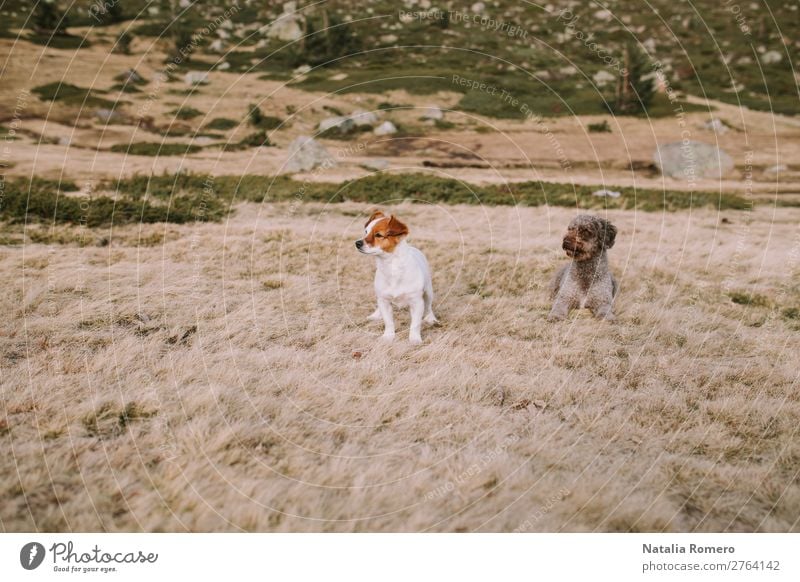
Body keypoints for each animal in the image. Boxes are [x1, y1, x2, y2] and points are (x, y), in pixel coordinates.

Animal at [356, 211, 438, 344]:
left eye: (378, 235)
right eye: (366, 232)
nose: (357, 243)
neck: (392, 268)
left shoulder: (417, 302)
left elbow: (415, 324)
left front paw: (414, 339)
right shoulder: (384, 301)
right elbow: (388, 322)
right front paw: (388, 337)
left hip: (429, 292)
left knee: (429, 306)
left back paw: (431, 318)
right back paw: (376, 315)